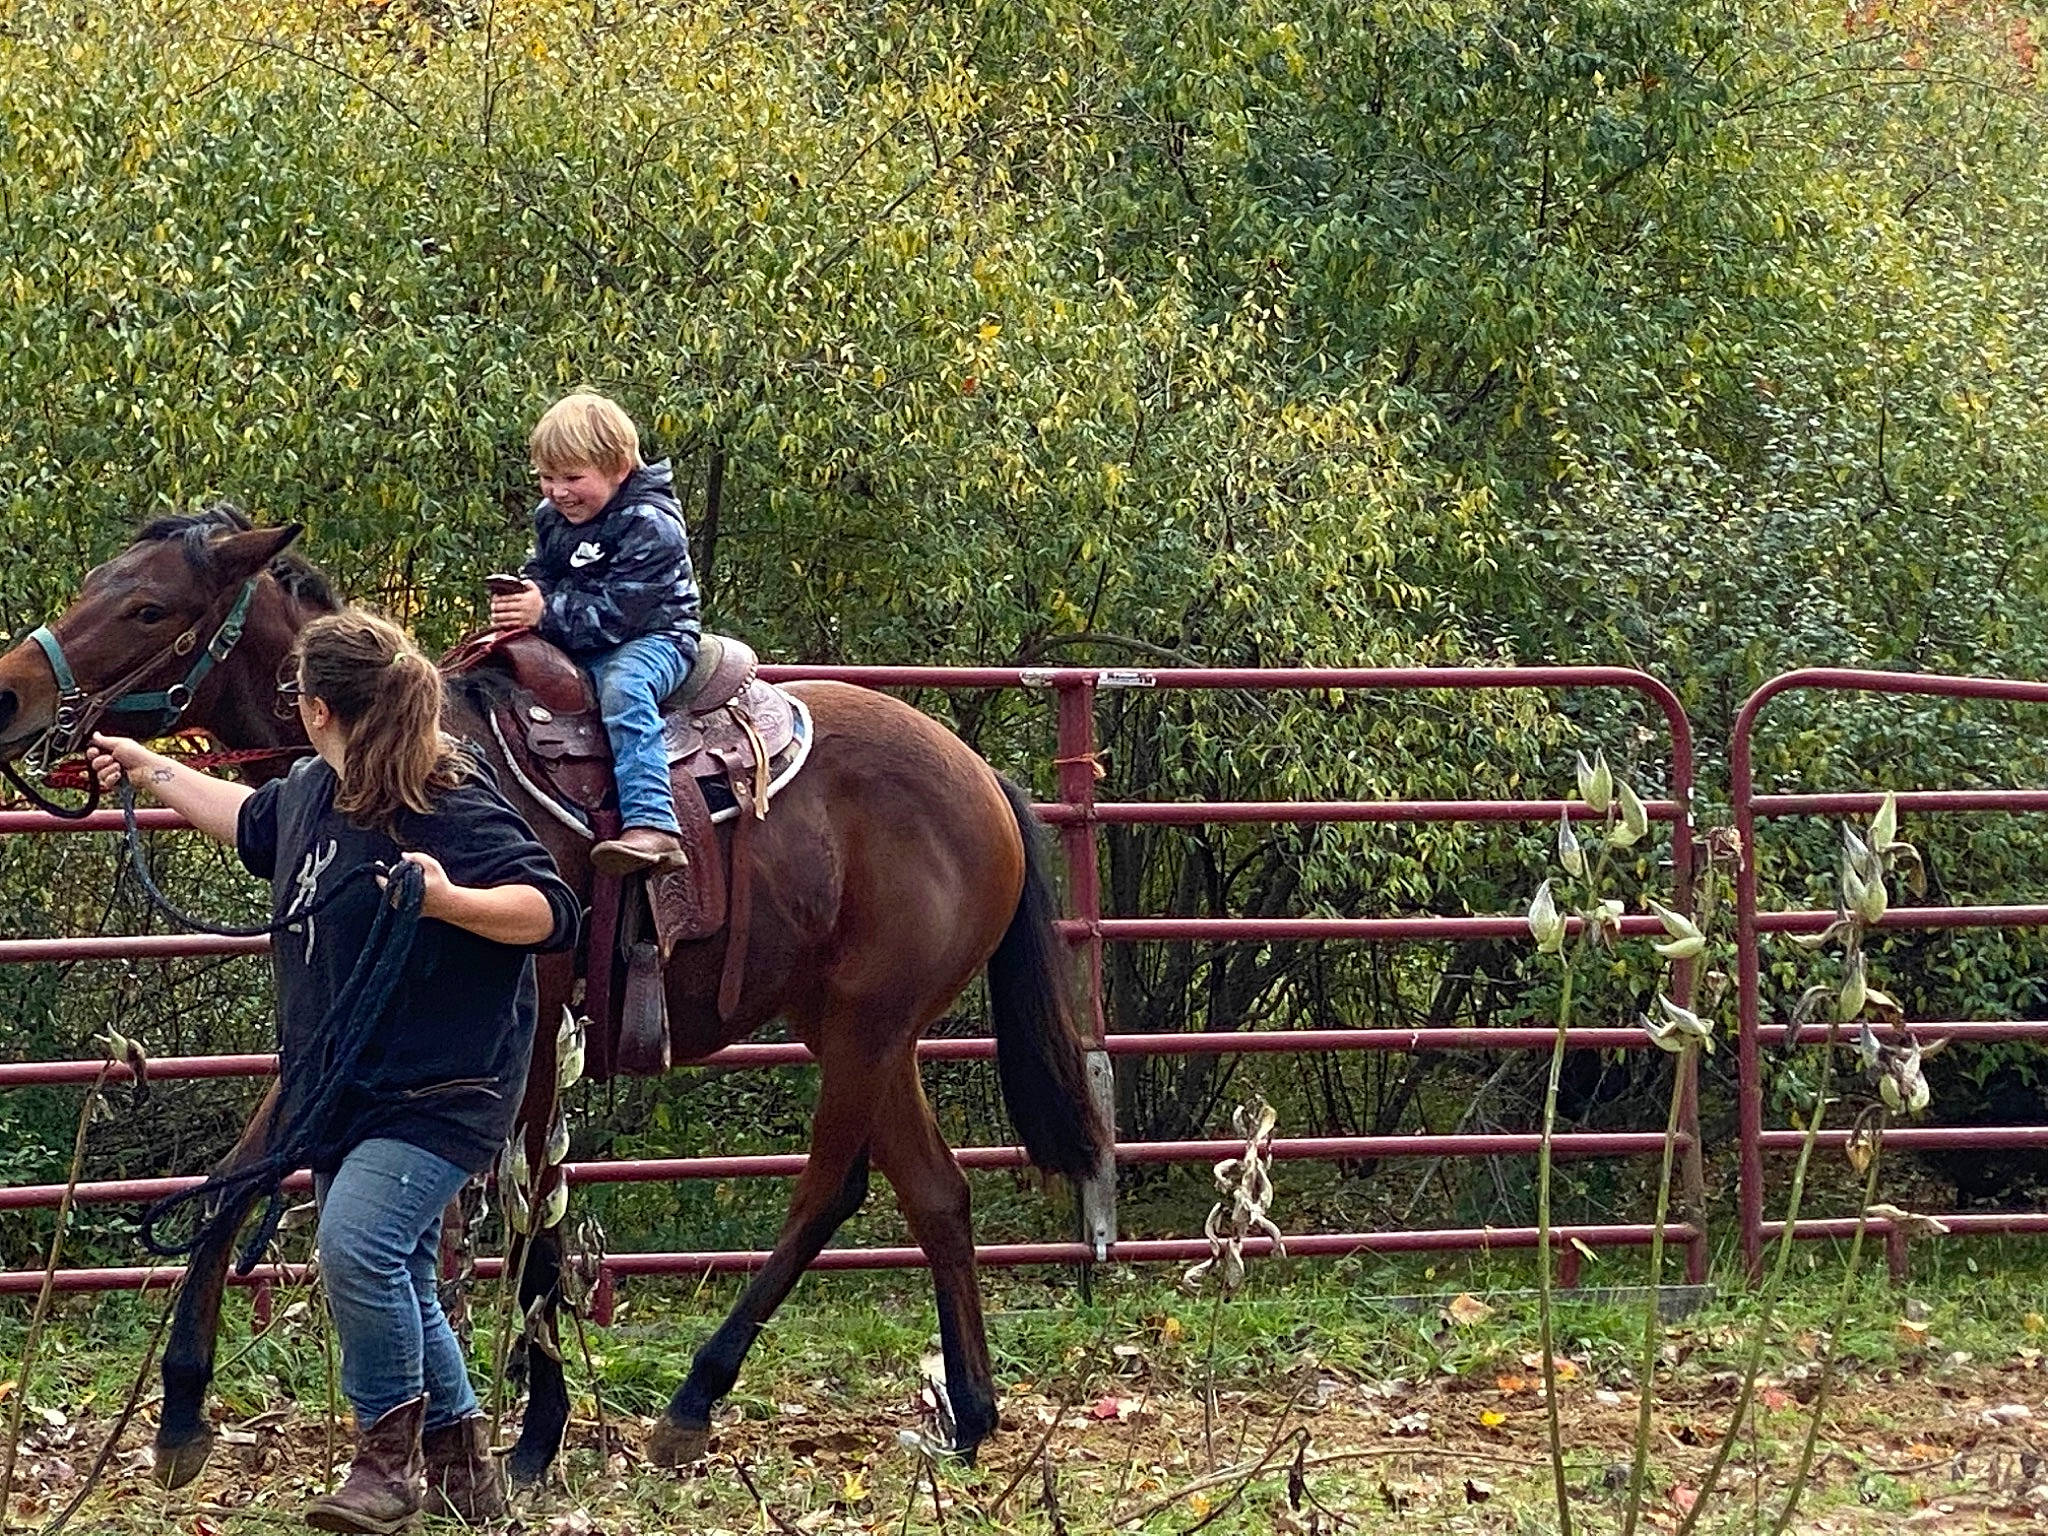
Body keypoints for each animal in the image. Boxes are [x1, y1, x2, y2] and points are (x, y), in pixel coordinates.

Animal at [0, 508, 1106, 1486]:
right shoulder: (345, 1033)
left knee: (829, 1189)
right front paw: (182, 1409)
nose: (11, 695)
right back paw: (969, 1419)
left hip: (866, 1029)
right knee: (937, 1194)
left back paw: (695, 1402)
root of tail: (983, 781)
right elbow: (236, 1180)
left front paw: (537, 1435)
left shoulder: (528, 1043)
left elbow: (535, 1222)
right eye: (97, 584)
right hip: (857, 1029)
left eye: (147, 607)